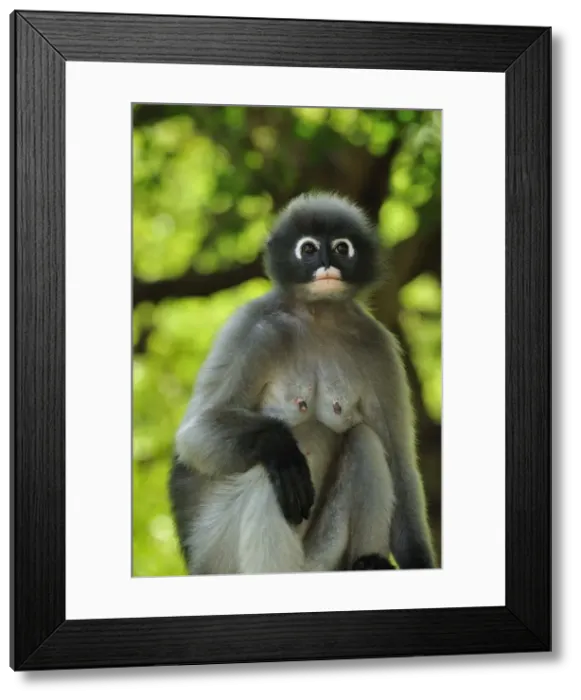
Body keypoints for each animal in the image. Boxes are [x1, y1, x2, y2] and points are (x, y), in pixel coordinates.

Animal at [169, 191, 436, 575]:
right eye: (308, 249)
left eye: (341, 248)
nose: (326, 264)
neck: (318, 315)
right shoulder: (253, 328)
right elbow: (195, 435)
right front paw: (280, 446)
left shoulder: (378, 347)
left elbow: (400, 462)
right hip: (219, 550)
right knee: (272, 468)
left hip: (321, 558)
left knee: (364, 440)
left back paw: (368, 562)